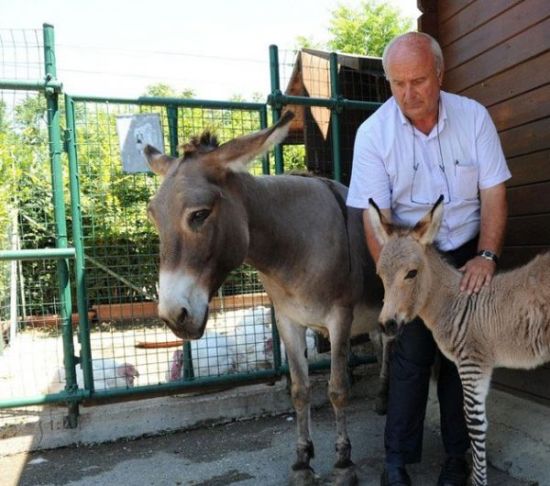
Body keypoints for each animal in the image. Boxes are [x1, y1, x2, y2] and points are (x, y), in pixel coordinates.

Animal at [368, 196, 550, 486]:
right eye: (379, 275)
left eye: (411, 273)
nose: (387, 325)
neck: (456, 302)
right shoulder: (470, 365)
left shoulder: (472, 363)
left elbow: (474, 424)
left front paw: (478, 481)